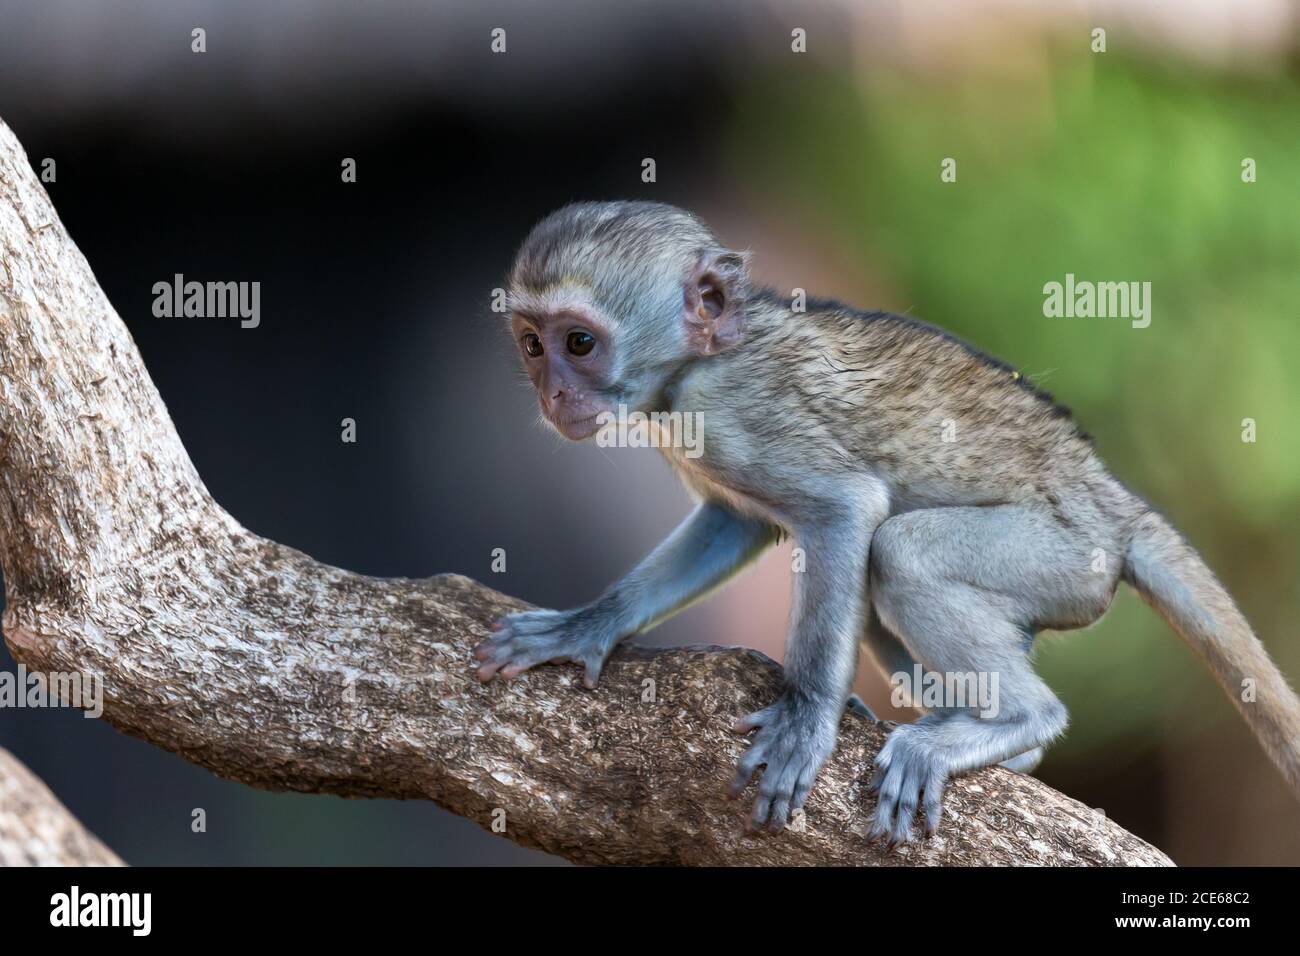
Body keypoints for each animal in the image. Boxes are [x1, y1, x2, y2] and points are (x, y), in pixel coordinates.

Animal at [475, 197, 1300, 842]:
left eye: (580, 343)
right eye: (533, 346)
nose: (553, 394)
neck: (699, 361)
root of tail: (1110, 498)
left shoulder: (733, 411)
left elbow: (847, 510)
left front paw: (806, 719)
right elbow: (734, 524)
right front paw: (588, 624)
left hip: (1068, 557)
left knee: (899, 552)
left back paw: (1019, 720)